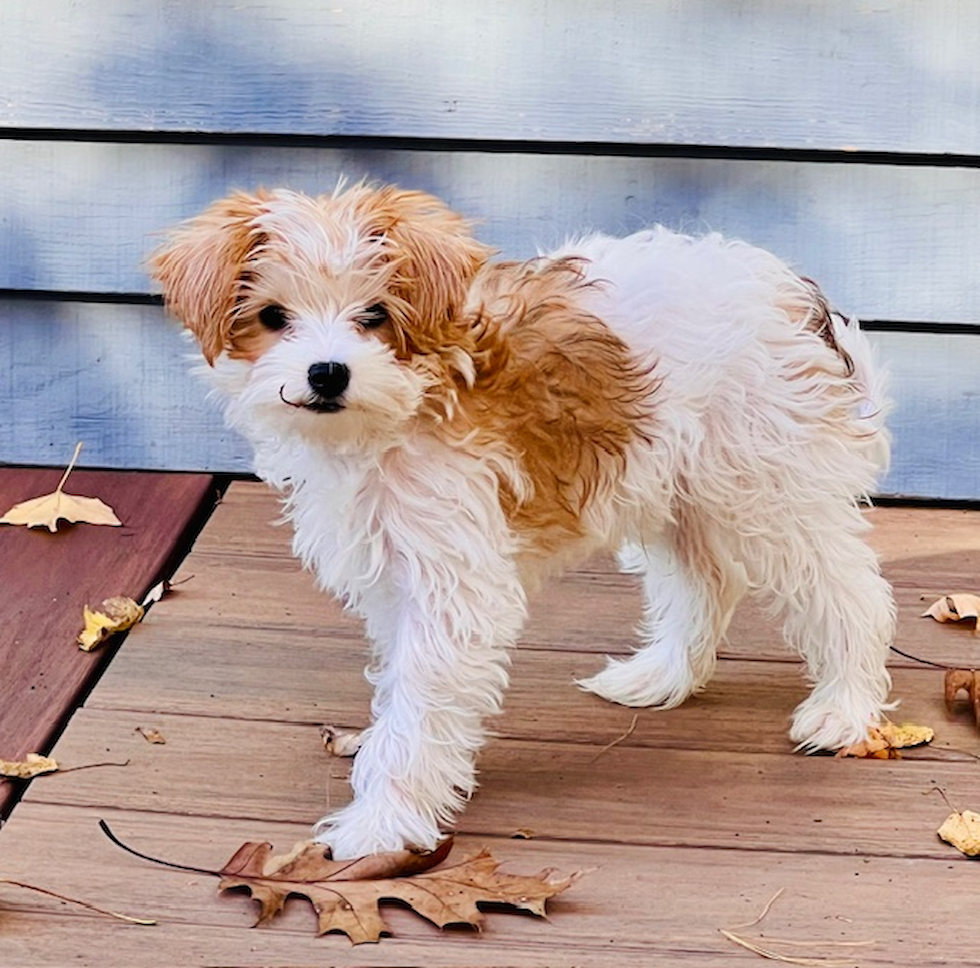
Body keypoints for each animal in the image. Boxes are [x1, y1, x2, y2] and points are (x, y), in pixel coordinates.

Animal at [151, 185, 896, 860]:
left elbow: (418, 712)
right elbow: (401, 684)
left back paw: (845, 707)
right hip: (678, 486)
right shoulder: (400, 571)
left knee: (848, 592)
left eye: (376, 314)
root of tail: (792, 293)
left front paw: (382, 823)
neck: (402, 409)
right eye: (273, 316)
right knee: (706, 583)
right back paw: (662, 677)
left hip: (768, 490)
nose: (327, 372)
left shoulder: (453, 586)